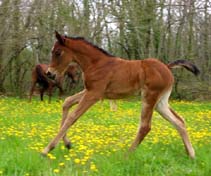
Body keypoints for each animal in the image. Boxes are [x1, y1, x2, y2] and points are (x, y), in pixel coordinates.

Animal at [42, 31, 200, 159]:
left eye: (58, 52)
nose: (49, 73)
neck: (96, 63)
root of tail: (167, 67)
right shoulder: (91, 91)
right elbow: (67, 102)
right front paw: (67, 143)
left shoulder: (94, 94)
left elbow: (73, 117)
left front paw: (48, 149)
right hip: (160, 102)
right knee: (179, 121)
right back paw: (191, 154)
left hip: (149, 97)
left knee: (145, 126)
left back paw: (126, 155)